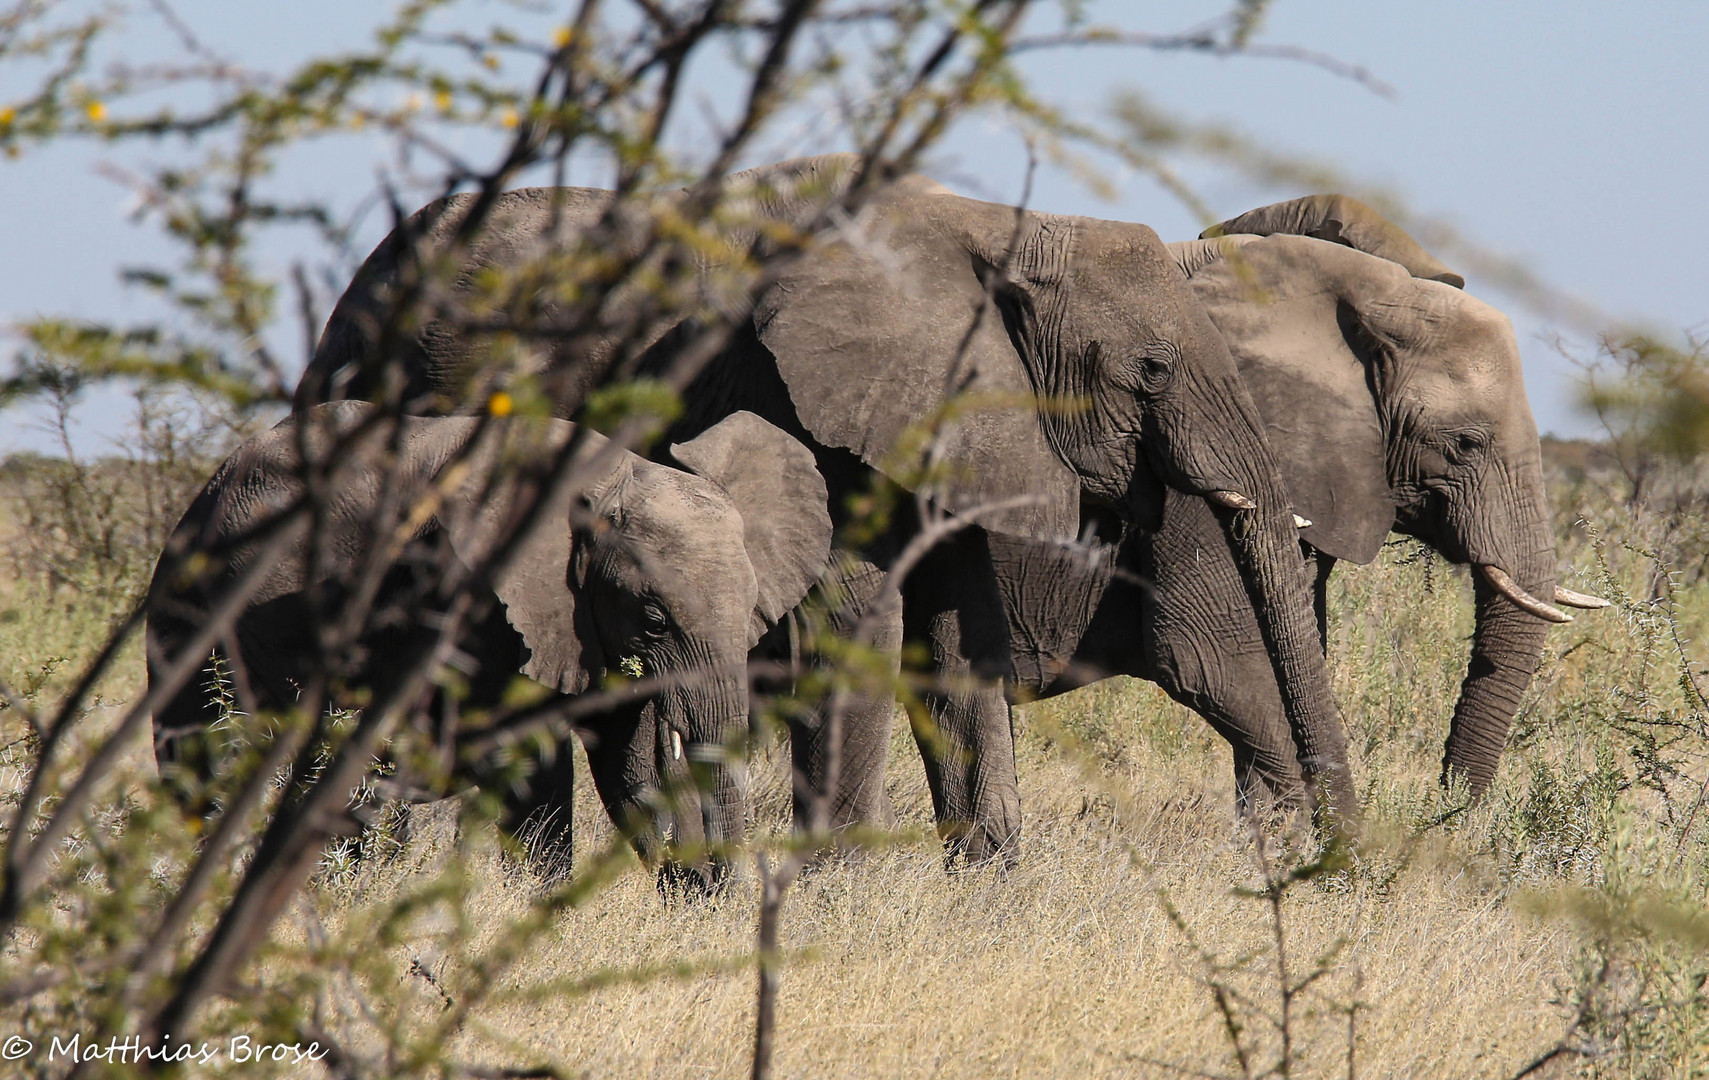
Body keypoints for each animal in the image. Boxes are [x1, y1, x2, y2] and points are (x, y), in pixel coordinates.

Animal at [150, 401, 830, 881]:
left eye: (751, 616)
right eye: (656, 618)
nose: (715, 886)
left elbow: (626, 766)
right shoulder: (476, 603)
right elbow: (535, 765)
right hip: (194, 623)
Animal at [297, 153, 1360, 861]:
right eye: (1151, 370)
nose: (1350, 869)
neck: (996, 229)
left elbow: (958, 638)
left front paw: (985, 891)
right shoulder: (798, 397)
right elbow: (859, 622)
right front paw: (840, 894)